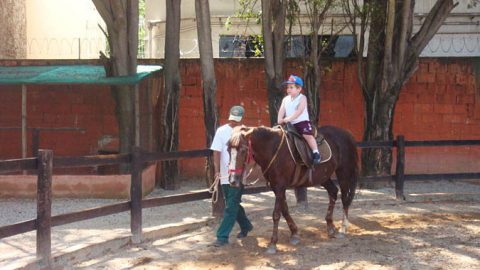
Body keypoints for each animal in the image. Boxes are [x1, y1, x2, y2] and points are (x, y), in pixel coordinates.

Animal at [230, 124, 360, 253]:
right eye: (228, 150)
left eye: (243, 150)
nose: (233, 180)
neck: (272, 149)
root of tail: (346, 134)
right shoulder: (276, 187)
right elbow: (285, 210)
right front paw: (294, 234)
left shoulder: (280, 187)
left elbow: (276, 214)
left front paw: (272, 244)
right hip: (324, 177)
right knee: (333, 192)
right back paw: (330, 226)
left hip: (343, 172)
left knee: (344, 198)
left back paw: (343, 228)